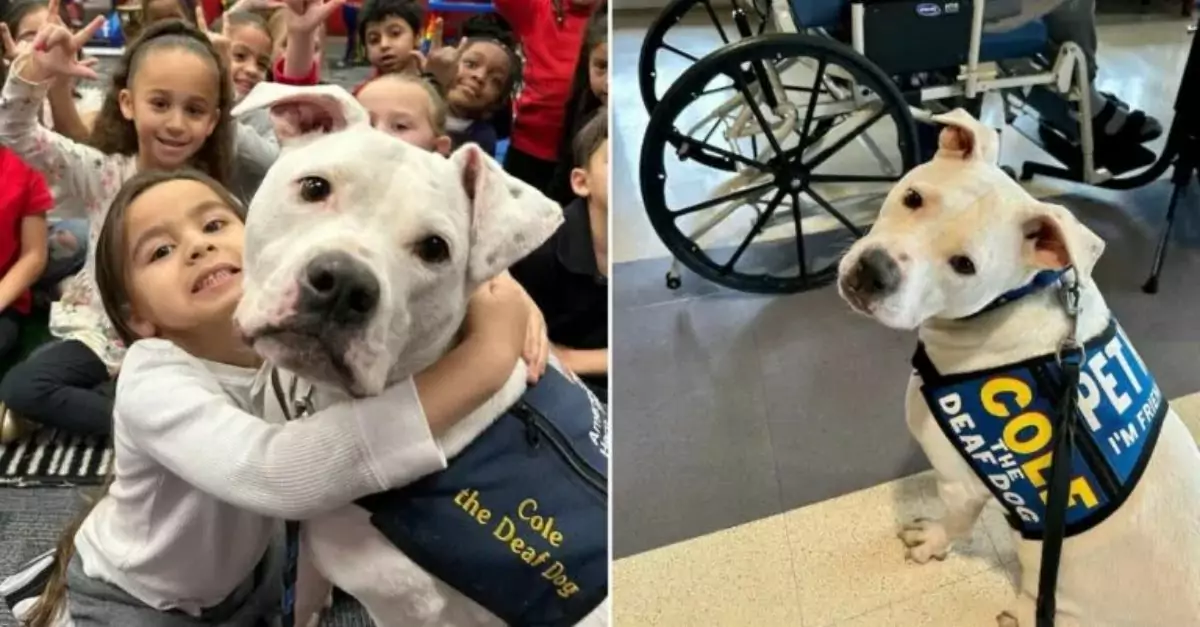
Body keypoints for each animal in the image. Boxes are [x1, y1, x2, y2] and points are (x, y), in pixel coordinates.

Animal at [840, 109, 1200, 619]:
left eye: (964, 265)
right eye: (913, 198)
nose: (874, 272)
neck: (1017, 298)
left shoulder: (961, 483)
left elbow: (954, 523)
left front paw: (932, 542)